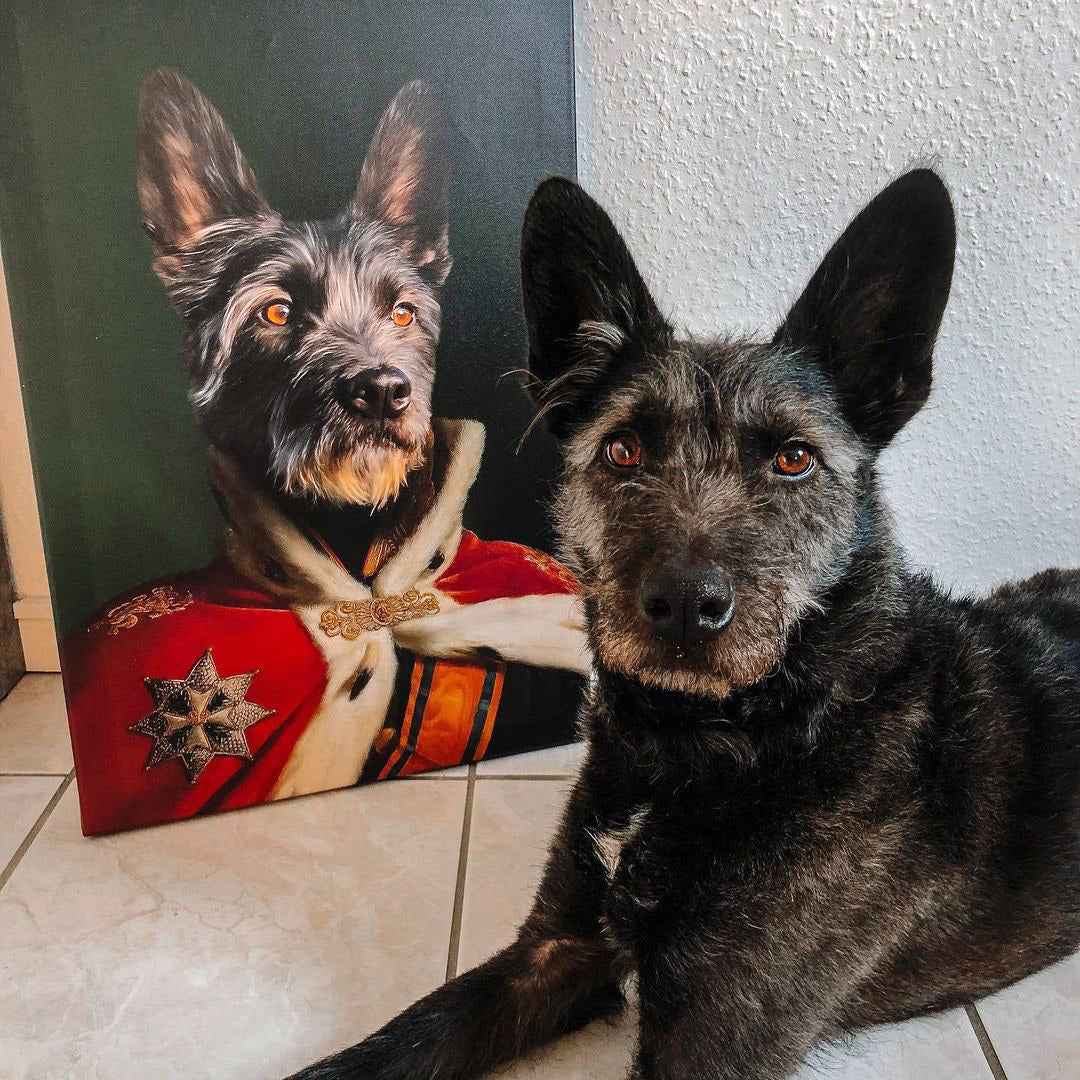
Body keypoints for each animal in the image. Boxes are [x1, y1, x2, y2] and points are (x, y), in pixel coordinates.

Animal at [293, 172, 1080, 1075]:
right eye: (624, 450)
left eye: (794, 458)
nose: (685, 605)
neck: (710, 742)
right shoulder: (556, 947)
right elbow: (397, 1041)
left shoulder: (713, 1033)